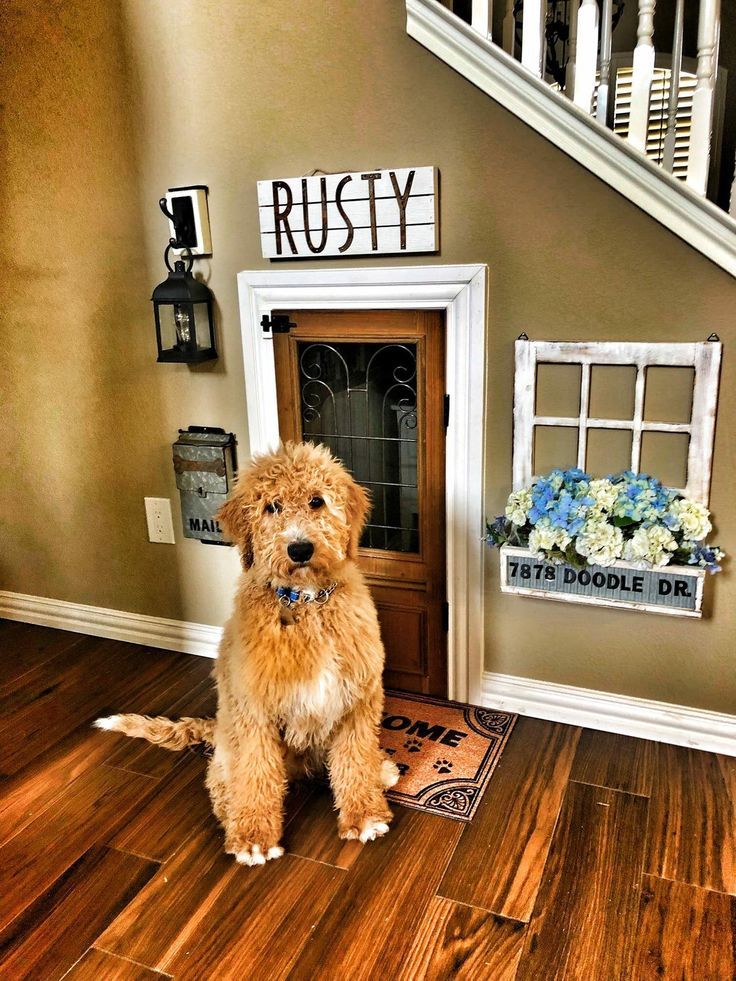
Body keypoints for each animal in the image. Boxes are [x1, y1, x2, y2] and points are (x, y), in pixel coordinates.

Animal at [99, 444, 396, 864]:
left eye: (317, 501)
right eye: (271, 506)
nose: (300, 548)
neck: (306, 603)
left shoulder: (356, 699)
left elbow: (355, 760)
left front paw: (365, 814)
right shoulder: (255, 709)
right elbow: (256, 772)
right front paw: (255, 836)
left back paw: (381, 770)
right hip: (231, 737)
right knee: (224, 780)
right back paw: (233, 814)